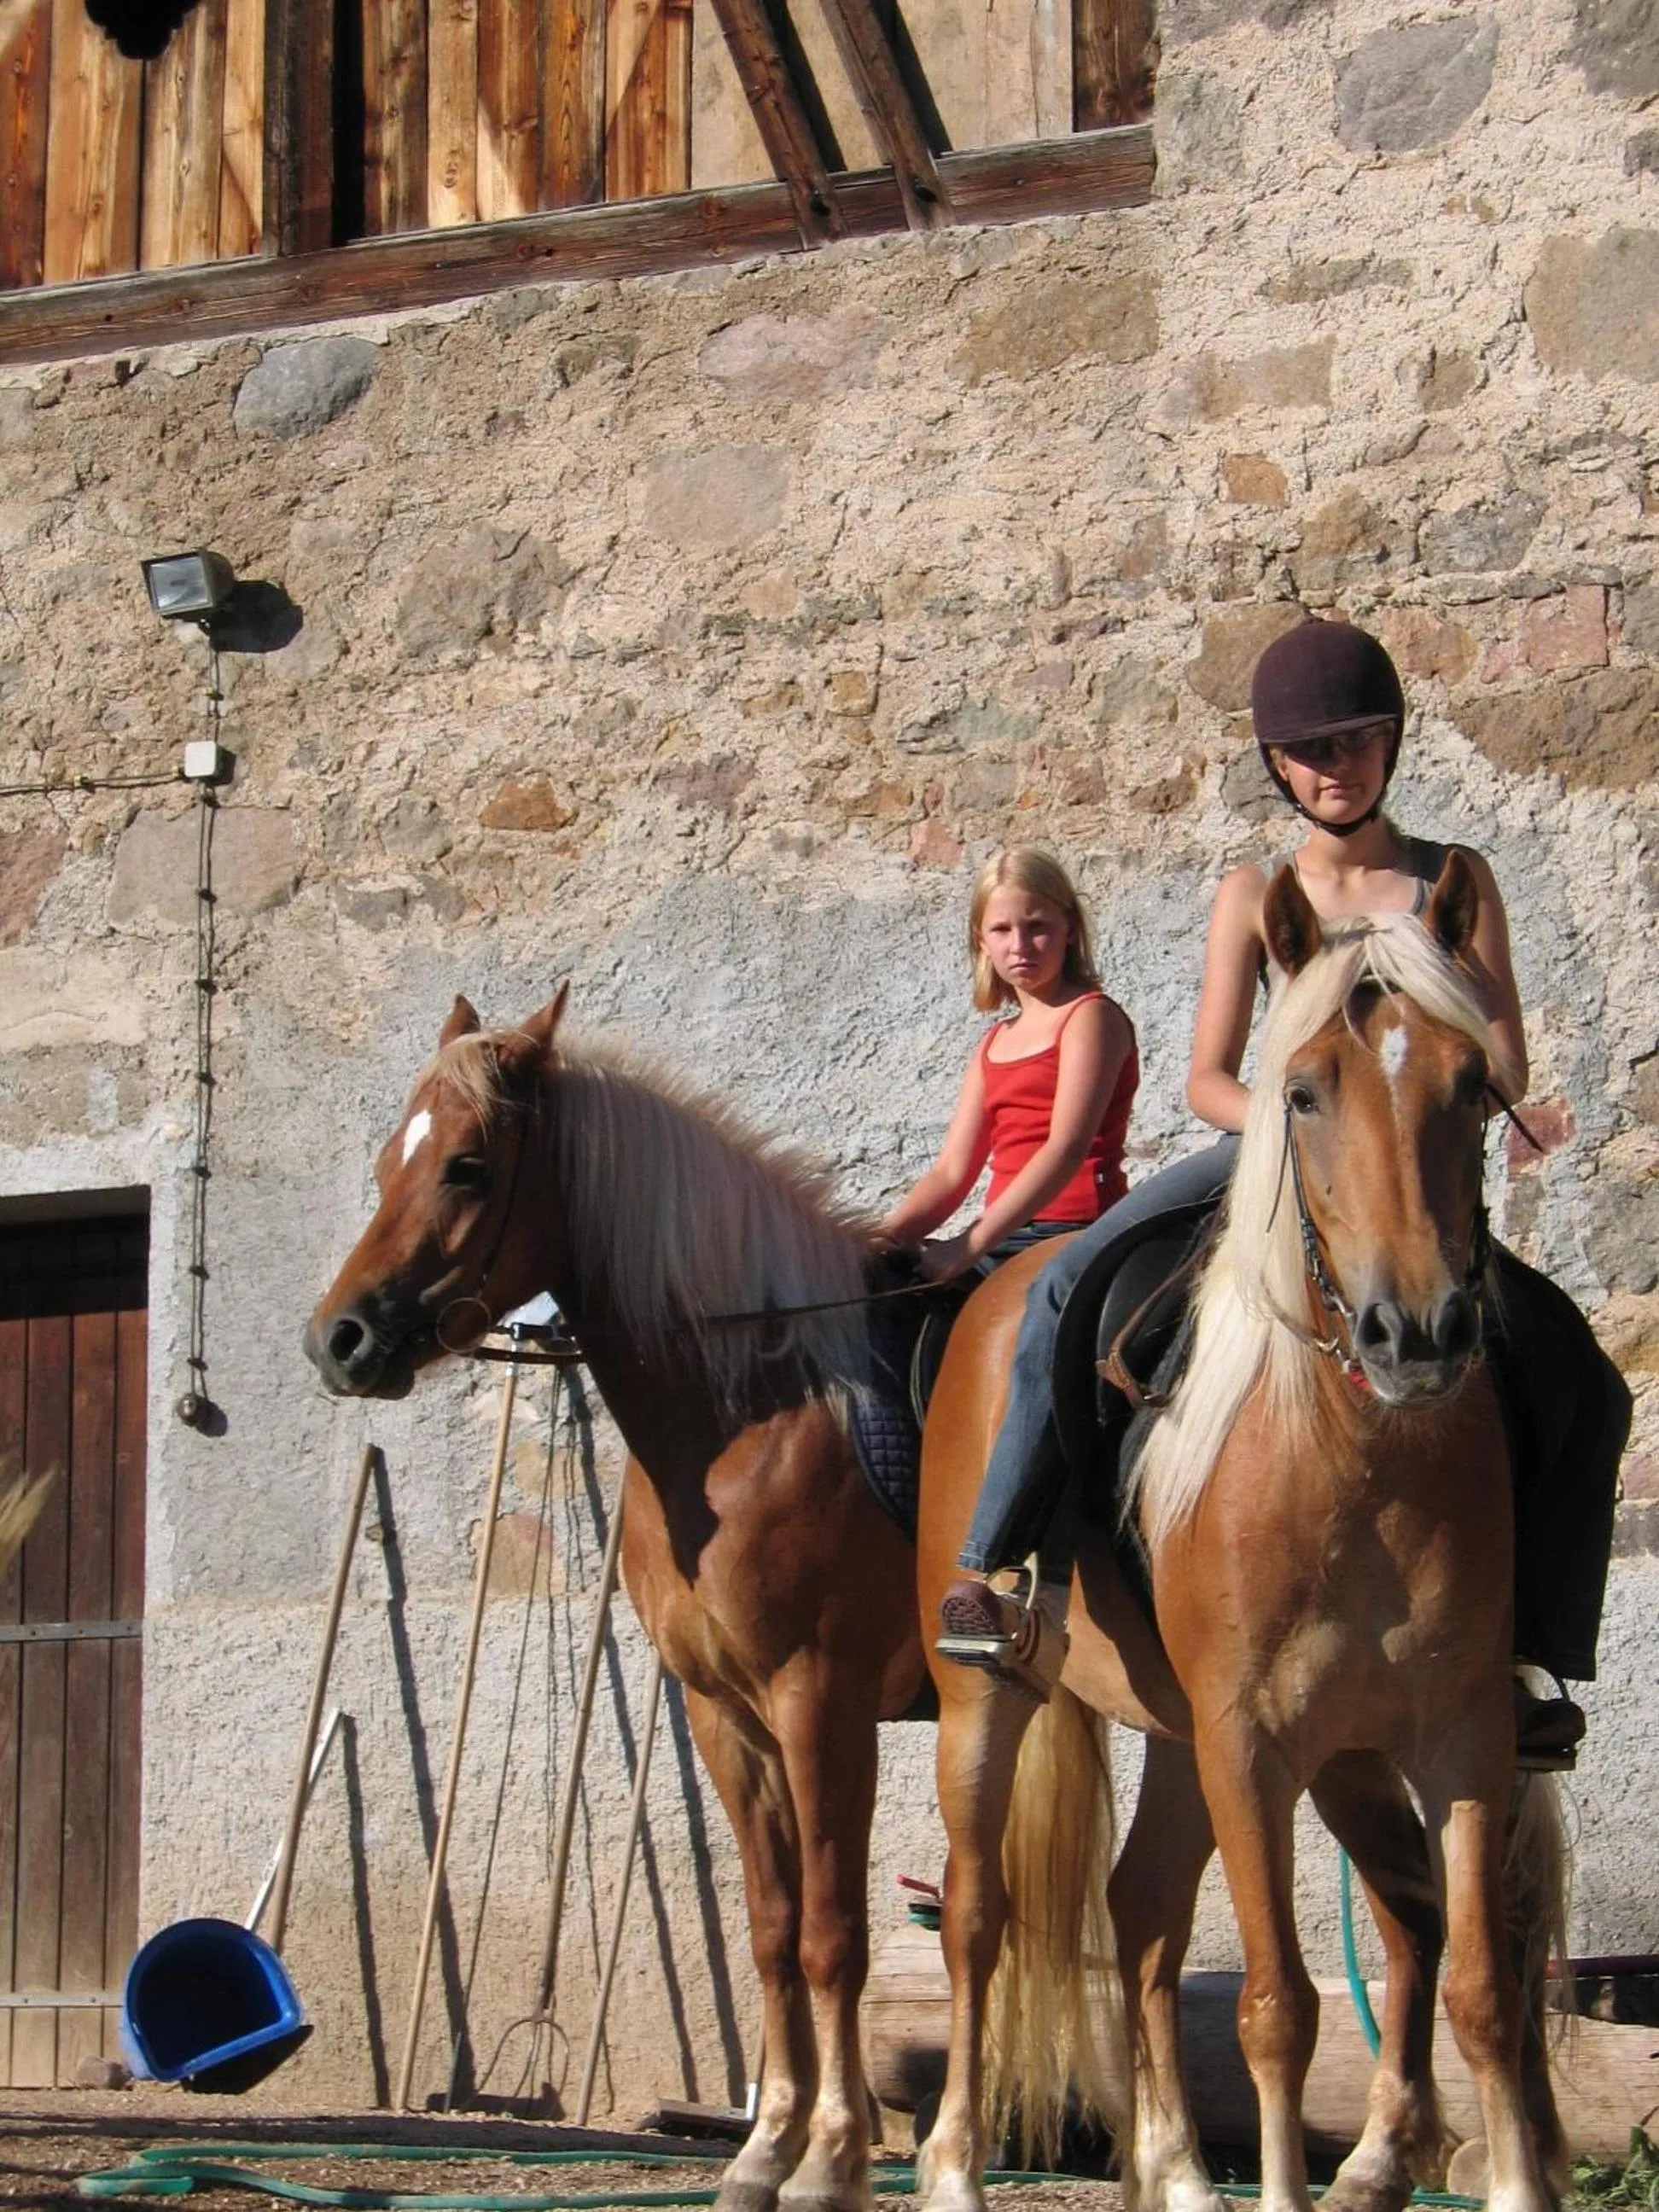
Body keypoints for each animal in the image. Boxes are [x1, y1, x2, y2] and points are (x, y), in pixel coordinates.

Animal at [304, 988, 926, 2212]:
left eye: (467, 1165)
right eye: (388, 1159)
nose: (337, 1339)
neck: (755, 1411)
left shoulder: (822, 1706)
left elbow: (835, 1933)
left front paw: (834, 2158)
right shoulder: (727, 1717)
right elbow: (774, 1929)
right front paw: (764, 2151)